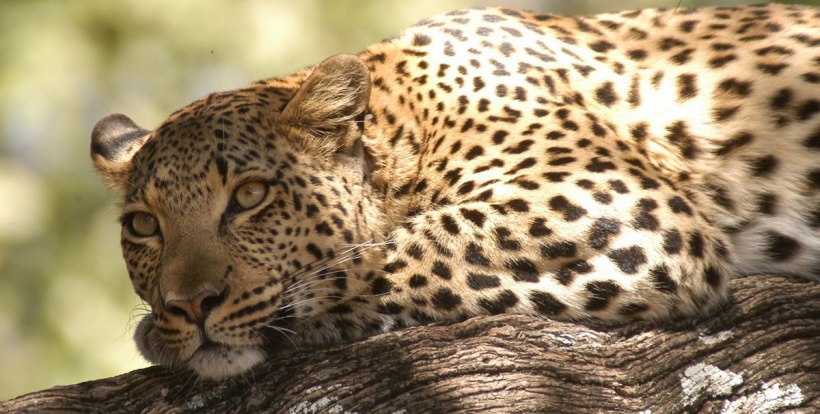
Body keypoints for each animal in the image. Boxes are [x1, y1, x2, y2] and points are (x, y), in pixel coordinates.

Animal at [89, 3, 820, 380]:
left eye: (249, 197)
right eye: (144, 227)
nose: (189, 304)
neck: (406, 125)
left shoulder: (618, 203)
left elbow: (392, 252)